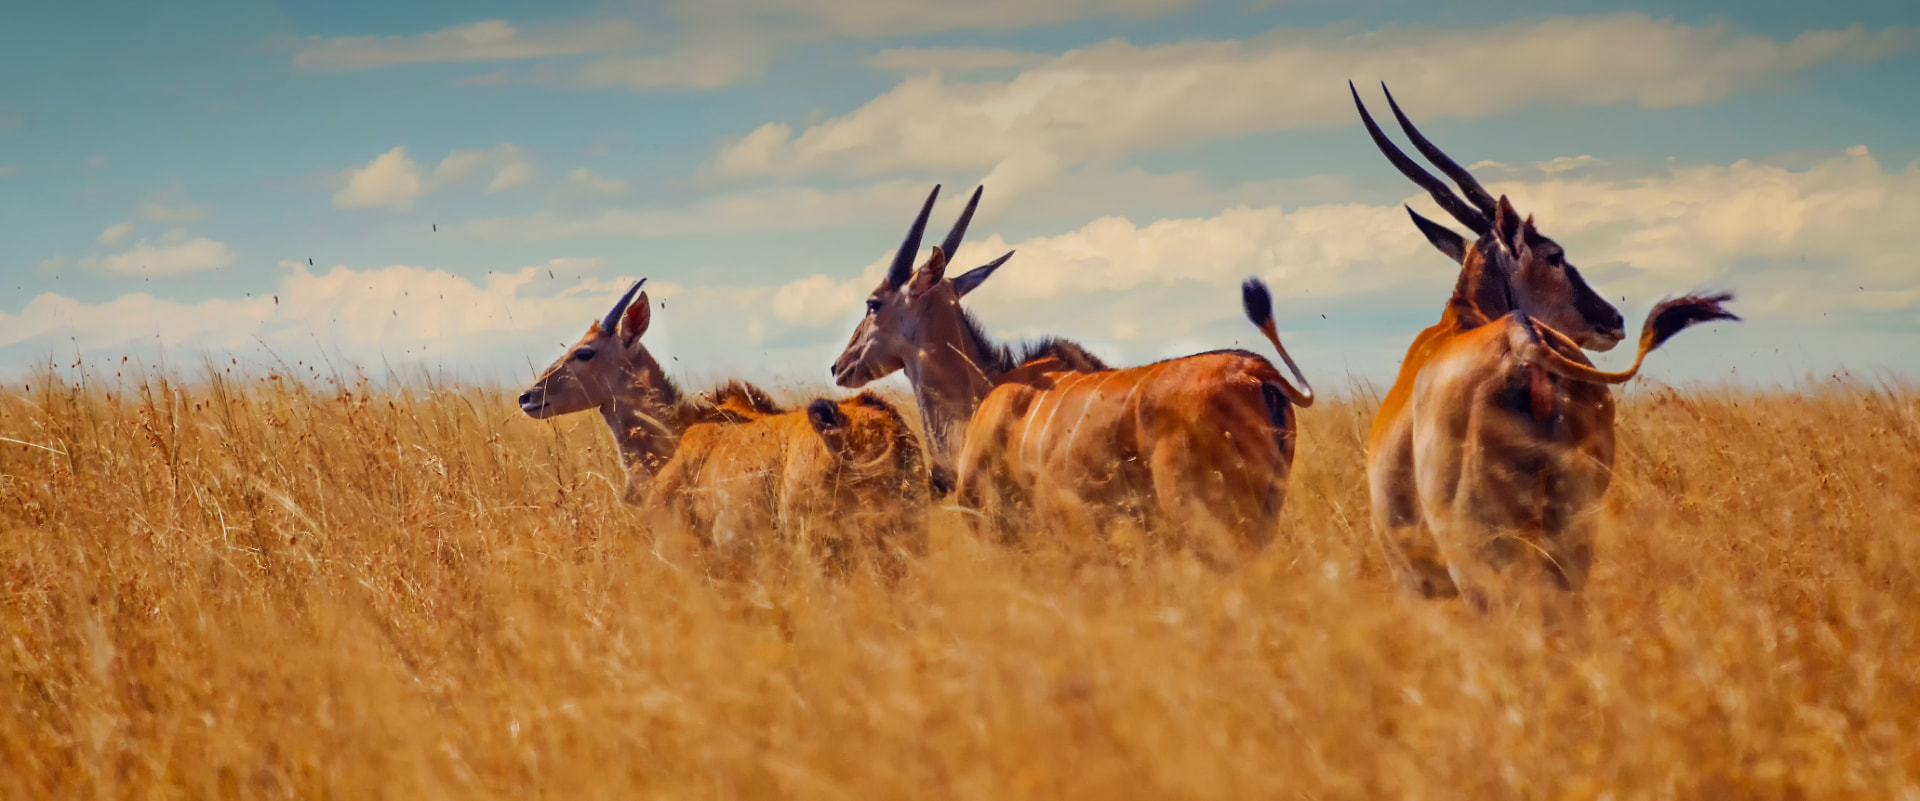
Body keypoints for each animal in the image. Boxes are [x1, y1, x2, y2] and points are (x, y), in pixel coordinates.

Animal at [1351, 81, 1738, 612]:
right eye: (1555, 256)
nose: (1613, 319)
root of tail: (1521, 339)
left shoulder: (1415, 581)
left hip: (1475, 552)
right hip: (1569, 537)